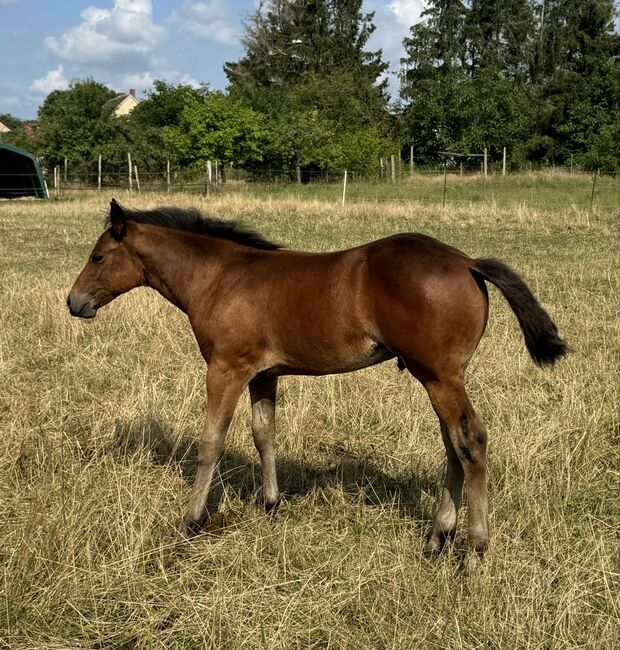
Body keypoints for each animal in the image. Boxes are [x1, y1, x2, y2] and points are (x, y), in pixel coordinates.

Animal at [68, 200, 568, 556]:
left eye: (98, 256)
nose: (74, 303)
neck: (219, 277)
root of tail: (467, 261)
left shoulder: (225, 368)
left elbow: (211, 441)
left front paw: (191, 520)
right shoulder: (263, 373)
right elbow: (263, 433)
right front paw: (270, 507)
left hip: (439, 374)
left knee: (470, 441)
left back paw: (475, 547)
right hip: (440, 377)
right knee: (453, 444)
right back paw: (436, 539)